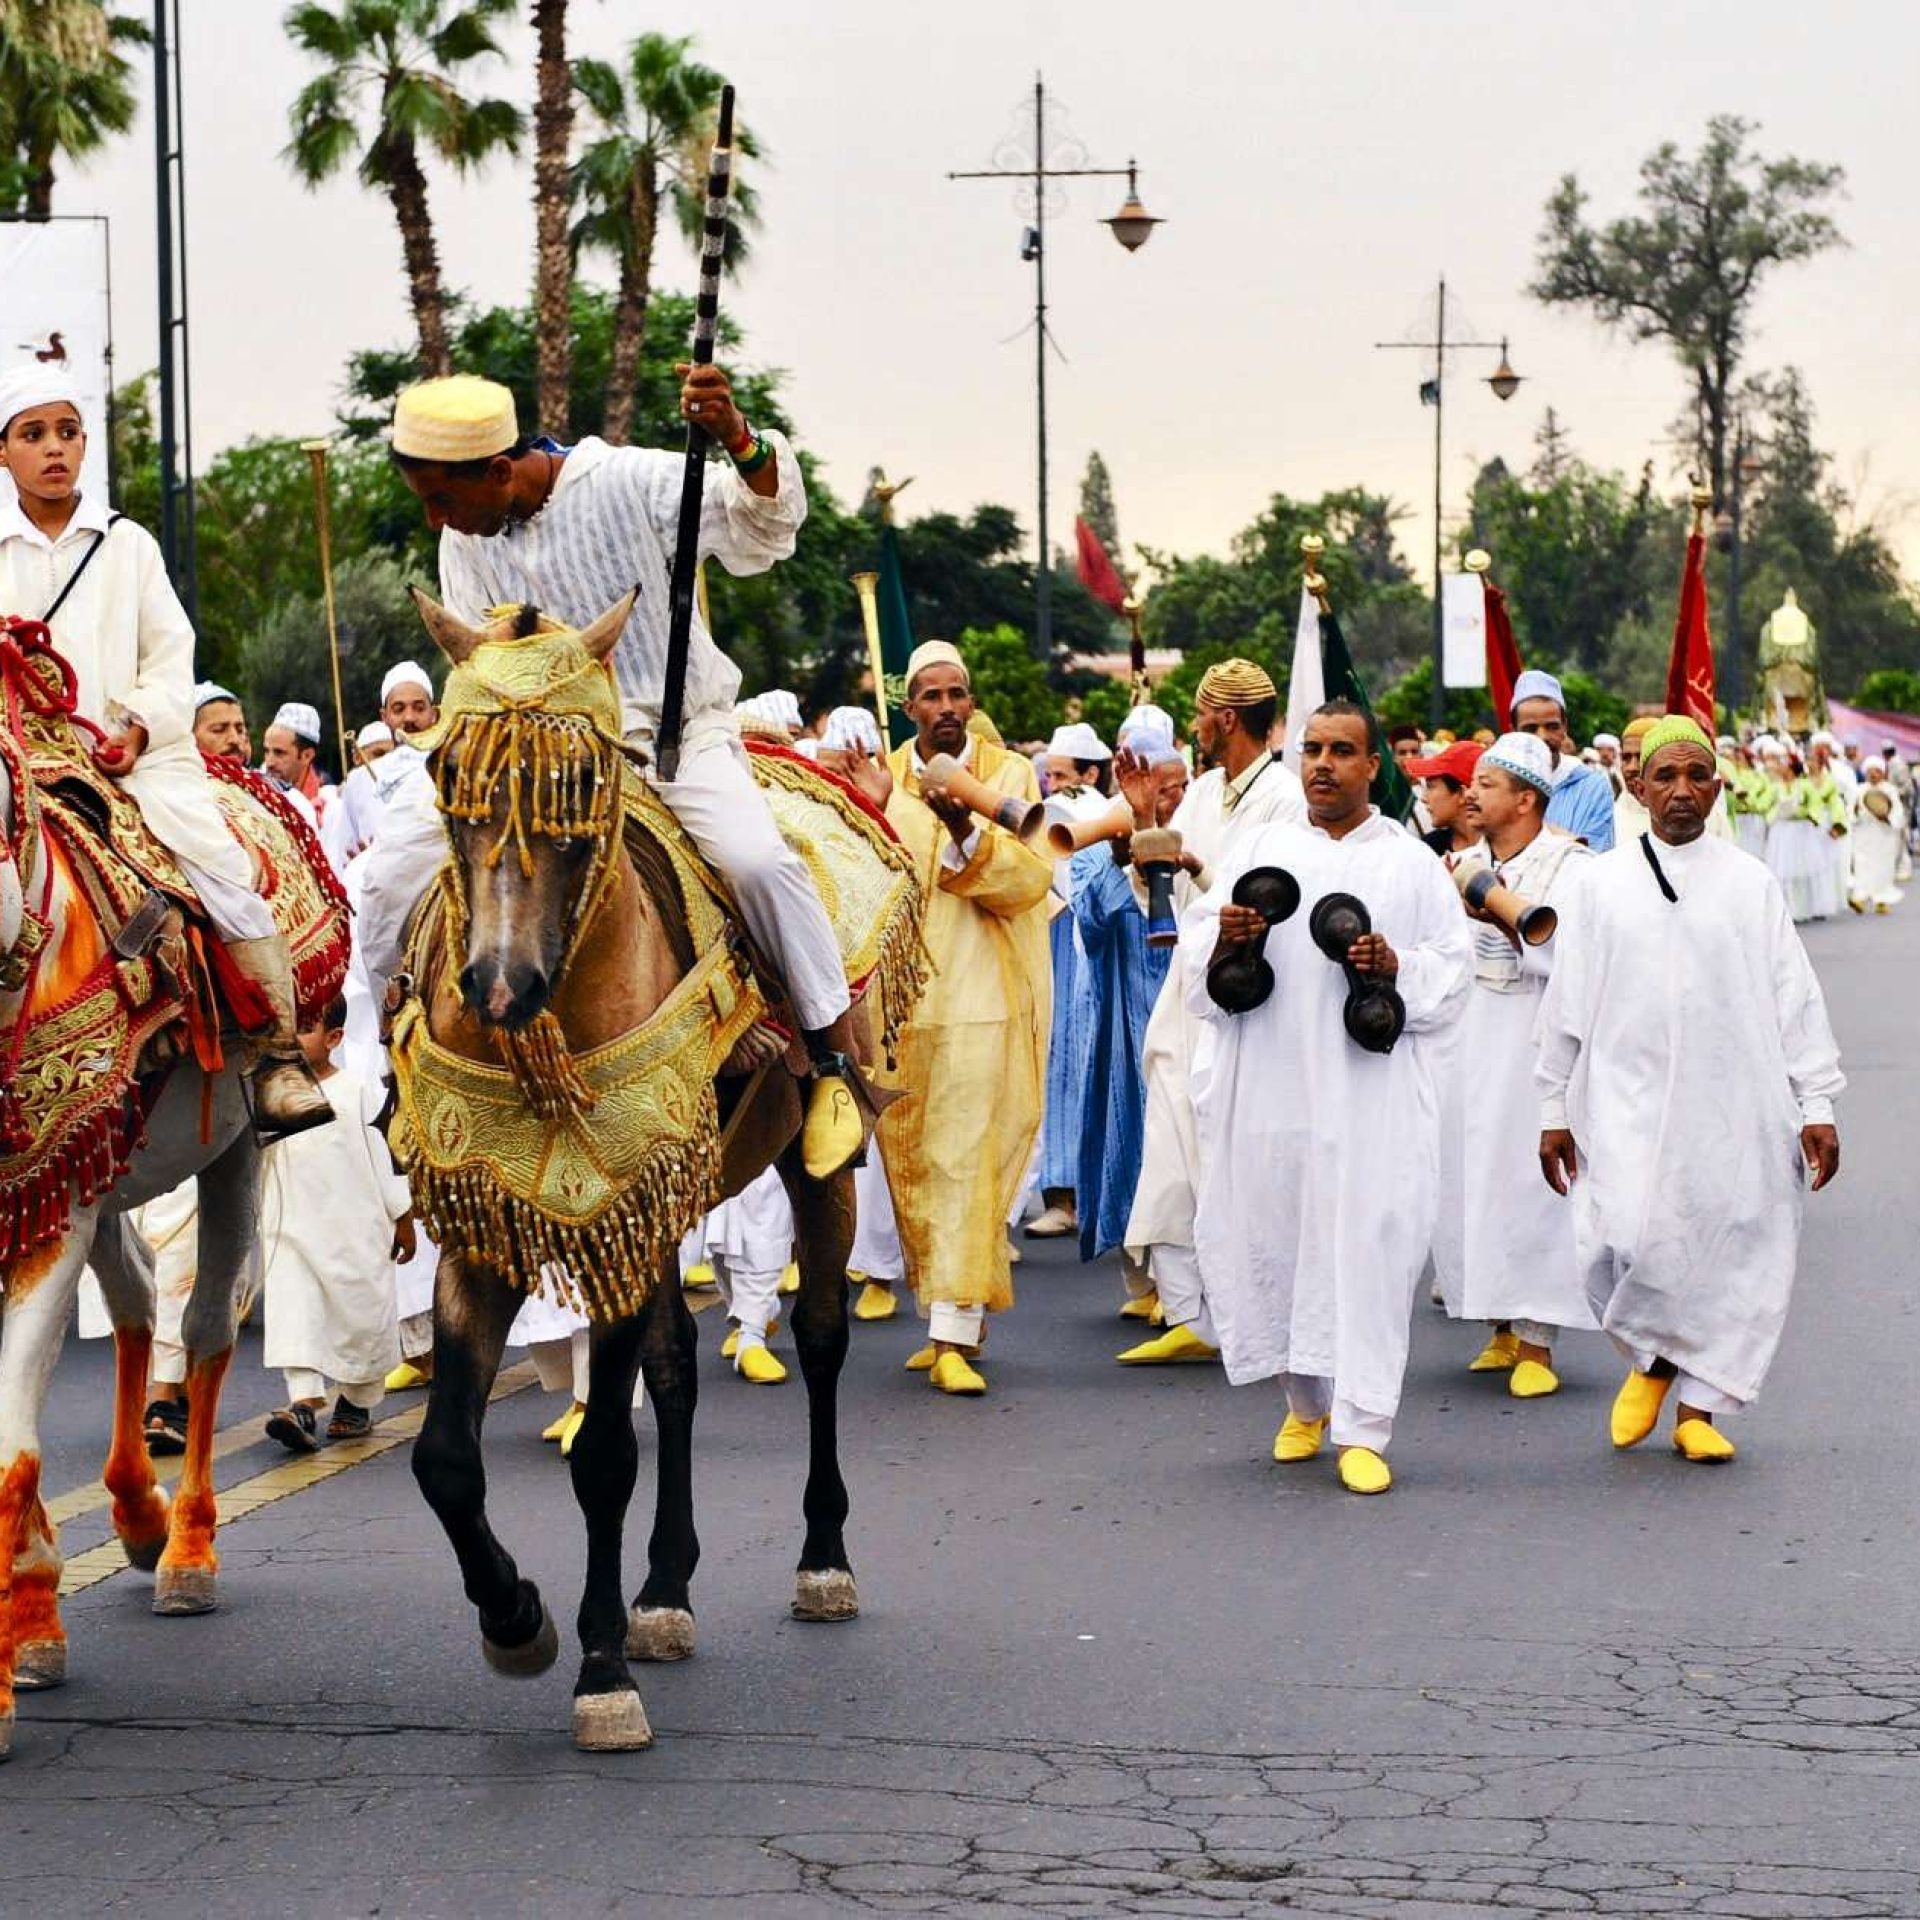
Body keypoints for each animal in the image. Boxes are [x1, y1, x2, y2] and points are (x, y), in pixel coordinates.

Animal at [395, 592, 902, 1752]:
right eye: (447, 772)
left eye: (580, 785)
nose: (499, 985)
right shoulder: (500, 1217)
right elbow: (445, 1457)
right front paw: (517, 1619)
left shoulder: (613, 1194)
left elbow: (601, 1457)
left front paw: (598, 1671)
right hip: (667, 1208)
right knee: (675, 1372)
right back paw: (665, 1589)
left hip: (818, 1164)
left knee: (821, 1339)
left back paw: (824, 1559)